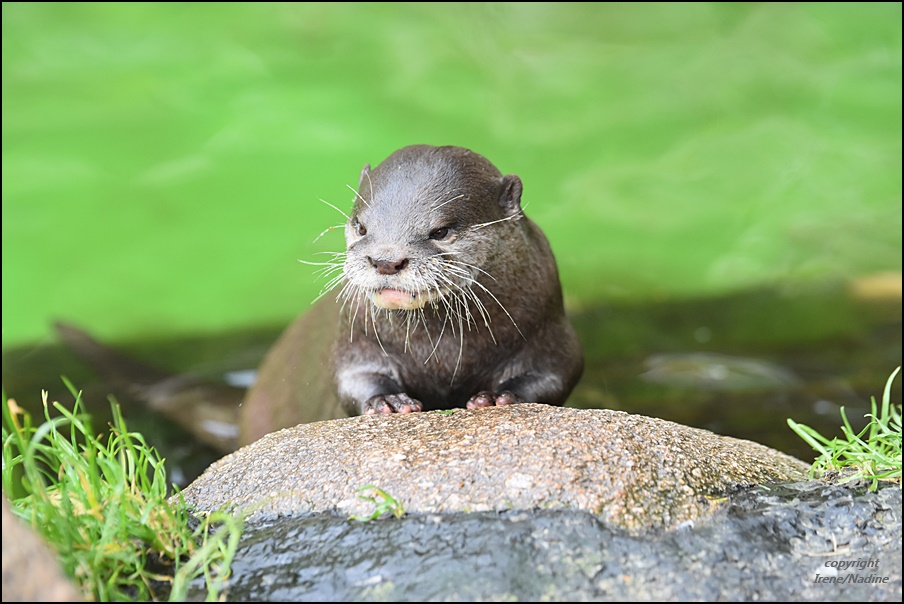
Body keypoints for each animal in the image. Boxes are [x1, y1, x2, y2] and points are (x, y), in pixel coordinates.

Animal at [237, 144, 584, 442]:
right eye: (361, 227)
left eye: (440, 231)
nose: (385, 260)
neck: (441, 354)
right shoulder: (355, 337)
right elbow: (352, 377)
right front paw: (388, 399)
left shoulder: (548, 324)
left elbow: (557, 372)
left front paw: (500, 395)